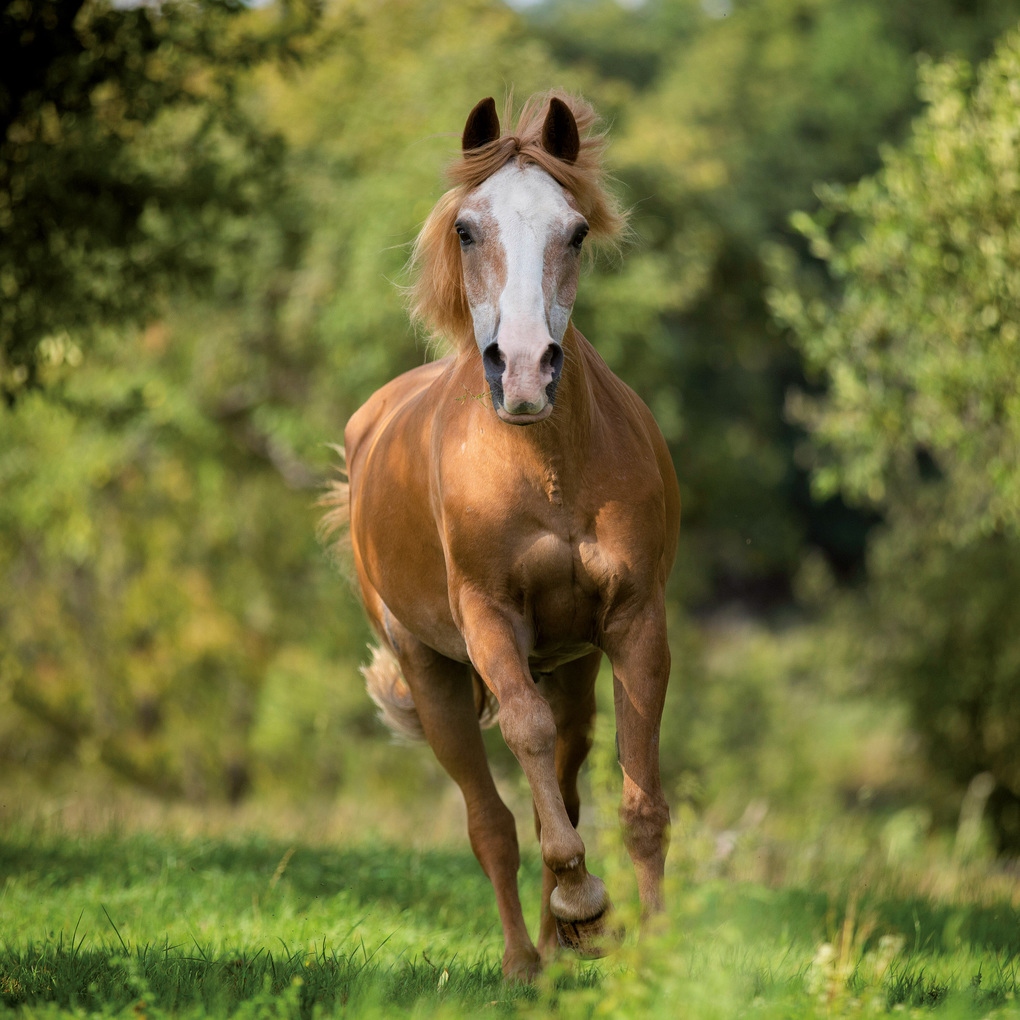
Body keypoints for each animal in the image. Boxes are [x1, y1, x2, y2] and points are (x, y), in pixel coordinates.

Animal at [322, 92, 680, 981]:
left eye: (575, 231)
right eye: (466, 229)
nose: (522, 369)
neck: (545, 470)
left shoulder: (635, 622)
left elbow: (639, 798)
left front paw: (650, 947)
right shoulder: (488, 621)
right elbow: (524, 738)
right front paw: (584, 901)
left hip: (572, 663)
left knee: (566, 776)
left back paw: (561, 944)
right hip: (433, 673)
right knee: (490, 820)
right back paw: (526, 960)